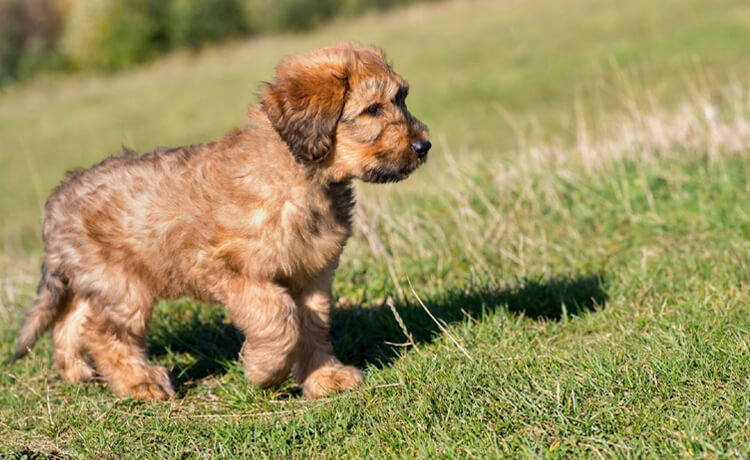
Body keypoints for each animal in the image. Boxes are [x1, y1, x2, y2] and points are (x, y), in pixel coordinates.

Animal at [11, 45, 432, 400]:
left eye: (402, 98)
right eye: (373, 109)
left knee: (73, 320)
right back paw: (140, 383)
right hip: (124, 285)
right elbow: (280, 319)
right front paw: (265, 371)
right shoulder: (228, 268)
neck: (298, 176)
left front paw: (325, 377)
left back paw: (77, 371)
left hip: (100, 281)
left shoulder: (312, 272)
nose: (424, 146)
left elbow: (313, 325)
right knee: (103, 333)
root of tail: (58, 200)